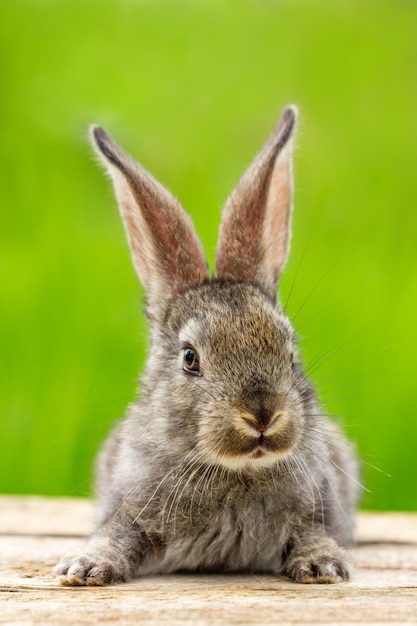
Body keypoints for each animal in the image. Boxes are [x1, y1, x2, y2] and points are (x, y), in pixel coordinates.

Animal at [57, 106, 360, 580]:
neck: (235, 471)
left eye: (291, 351)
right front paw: (86, 568)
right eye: (189, 358)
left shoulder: (318, 507)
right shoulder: (132, 508)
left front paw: (322, 565)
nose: (261, 415)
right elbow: (116, 534)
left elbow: (312, 532)